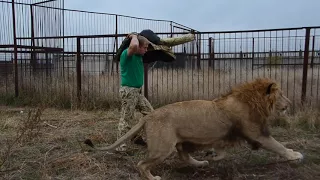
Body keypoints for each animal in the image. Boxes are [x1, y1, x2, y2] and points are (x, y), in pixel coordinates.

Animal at [85, 78, 302, 180]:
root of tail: (149, 116)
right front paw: (295, 155)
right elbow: (278, 145)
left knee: (183, 155)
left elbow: (222, 152)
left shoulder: (224, 135)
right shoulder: (256, 133)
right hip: (163, 148)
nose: (290, 103)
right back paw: (153, 177)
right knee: (142, 164)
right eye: (282, 94)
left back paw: (201, 163)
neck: (251, 101)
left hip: (181, 141)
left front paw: (213, 156)